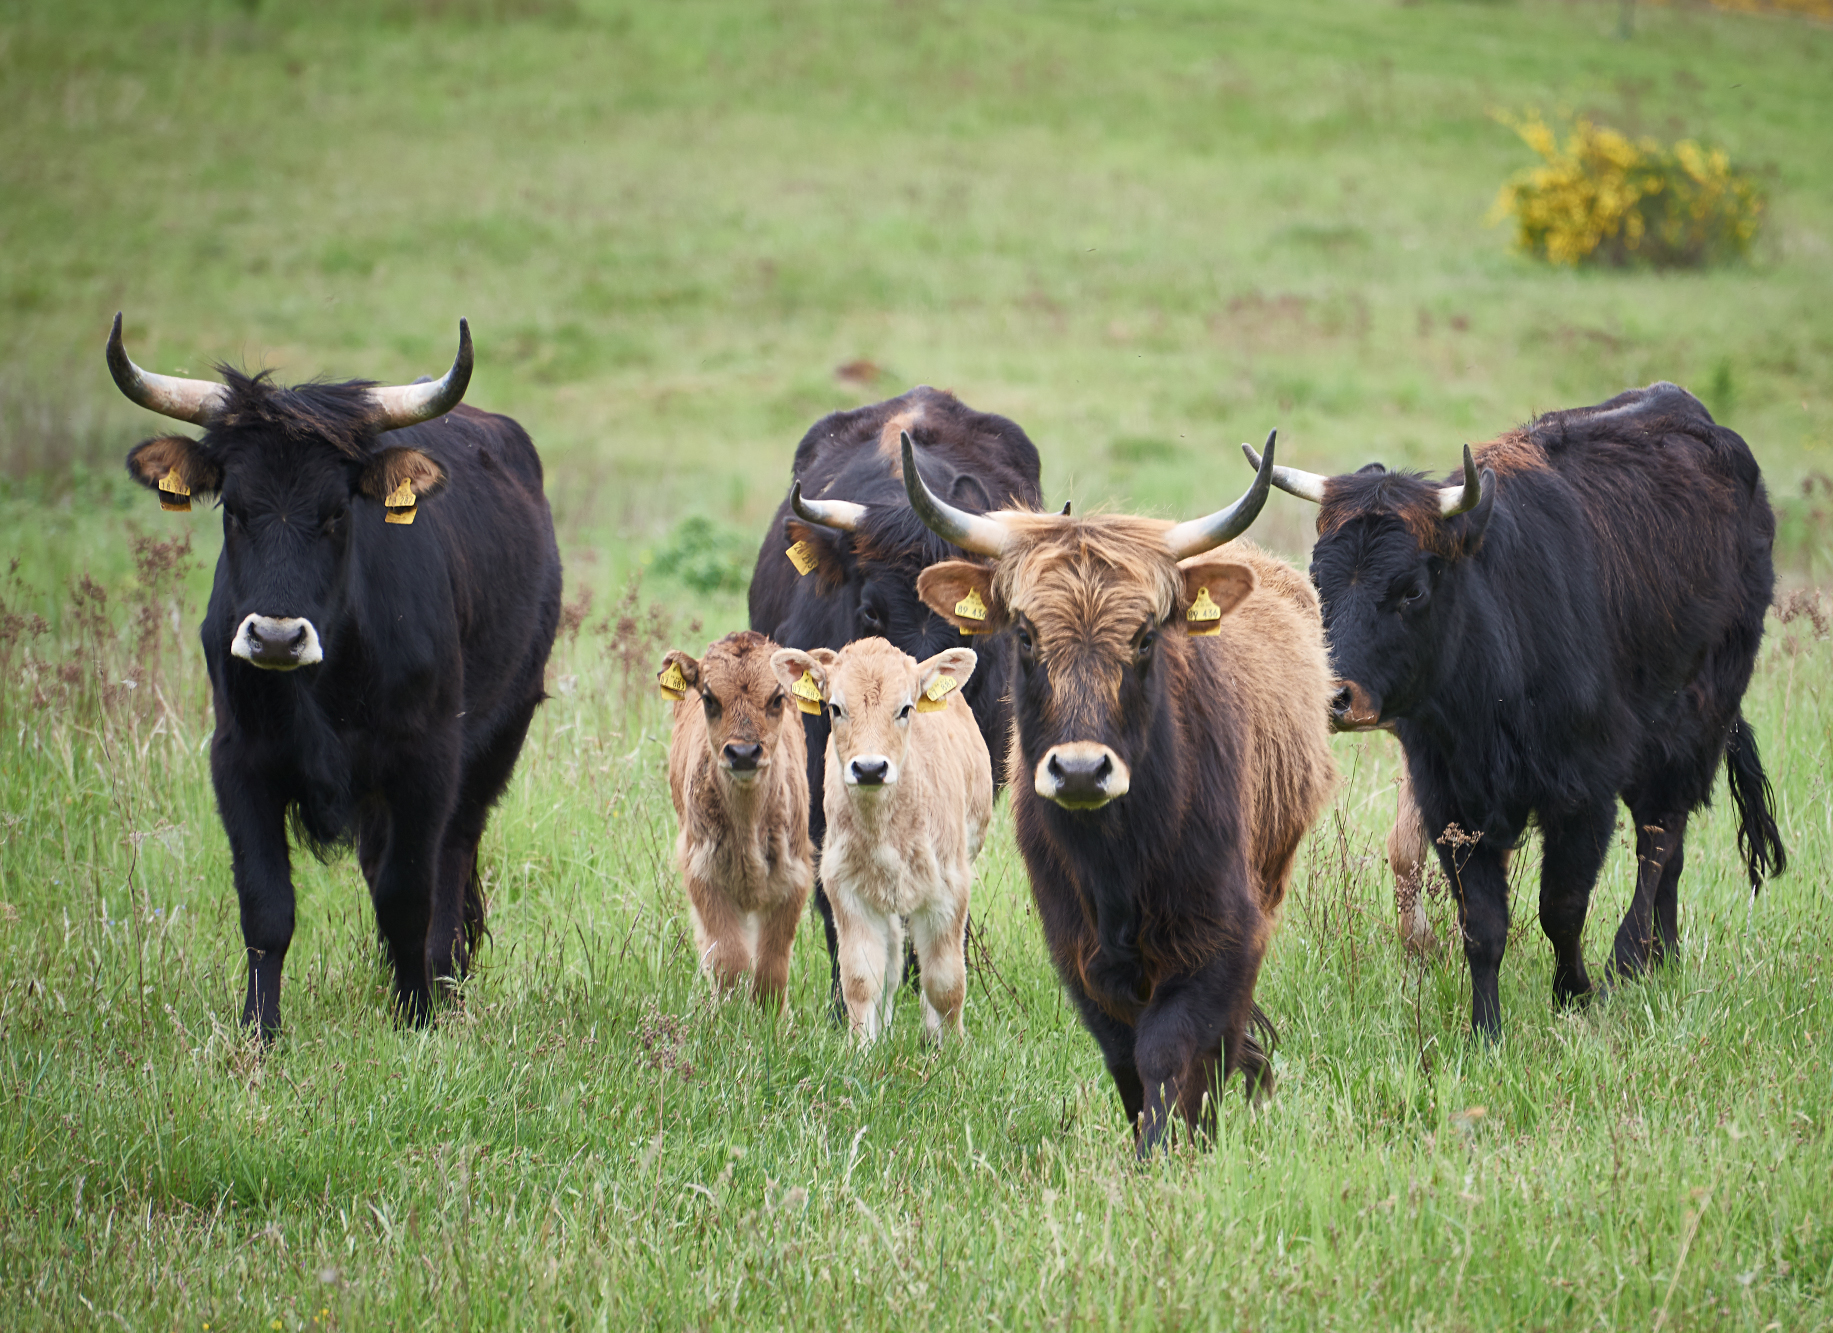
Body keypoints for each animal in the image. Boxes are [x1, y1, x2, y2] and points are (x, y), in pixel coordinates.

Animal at [109, 317, 557, 1034]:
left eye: (337, 512)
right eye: (234, 508)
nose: (275, 636)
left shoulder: (425, 760)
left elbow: (409, 892)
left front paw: (416, 1015)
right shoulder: (239, 760)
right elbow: (266, 907)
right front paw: (259, 1030)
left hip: (496, 738)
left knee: (454, 852)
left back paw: (445, 977)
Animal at [652, 634, 810, 1012]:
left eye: (777, 698)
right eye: (709, 698)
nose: (743, 754)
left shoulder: (793, 879)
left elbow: (772, 969)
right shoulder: (704, 876)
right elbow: (730, 960)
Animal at [769, 641, 997, 1048]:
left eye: (905, 708)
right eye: (835, 707)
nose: (871, 768)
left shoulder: (949, 888)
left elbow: (946, 980)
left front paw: (954, 1047)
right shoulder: (846, 888)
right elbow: (861, 978)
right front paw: (862, 1047)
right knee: (891, 957)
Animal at [1253, 381, 1781, 1034]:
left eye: (1412, 590)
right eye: (1319, 582)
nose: (1337, 698)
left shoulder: (1583, 793)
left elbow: (1562, 907)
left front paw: (1575, 994)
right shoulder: (1451, 800)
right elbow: (1481, 925)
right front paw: (1486, 1030)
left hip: (1694, 728)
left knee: (1661, 837)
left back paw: (1631, 957)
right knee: (1670, 848)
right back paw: (1665, 955)